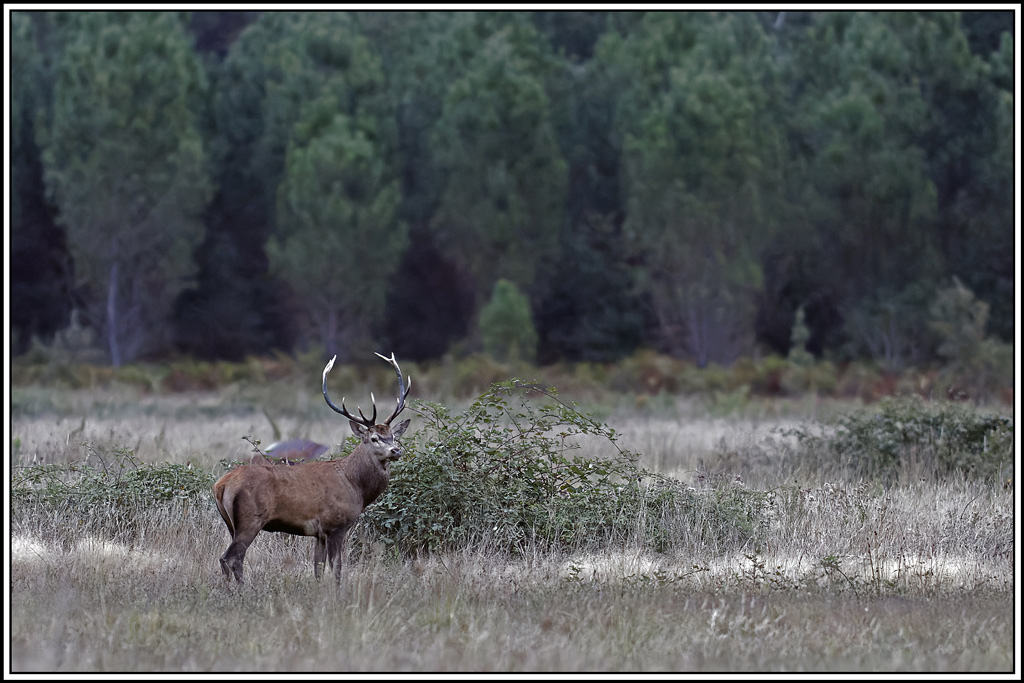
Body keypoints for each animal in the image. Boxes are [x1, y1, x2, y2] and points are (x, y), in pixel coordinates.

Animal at [212, 352, 411, 582]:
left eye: (393, 436)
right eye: (374, 438)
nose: (395, 450)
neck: (355, 486)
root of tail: (221, 485)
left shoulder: (319, 532)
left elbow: (318, 568)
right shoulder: (336, 525)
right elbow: (336, 568)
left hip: (231, 524)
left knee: (231, 558)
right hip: (250, 519)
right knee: (230, 558)